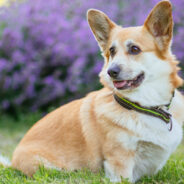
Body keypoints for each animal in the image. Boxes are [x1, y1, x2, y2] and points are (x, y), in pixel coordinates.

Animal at [1, 0, 184, 183]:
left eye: (134, 49)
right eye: (112, 51)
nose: (111, 71)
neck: (145, 106)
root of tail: (13, 162)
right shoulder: (119, 161)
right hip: (51, 168)